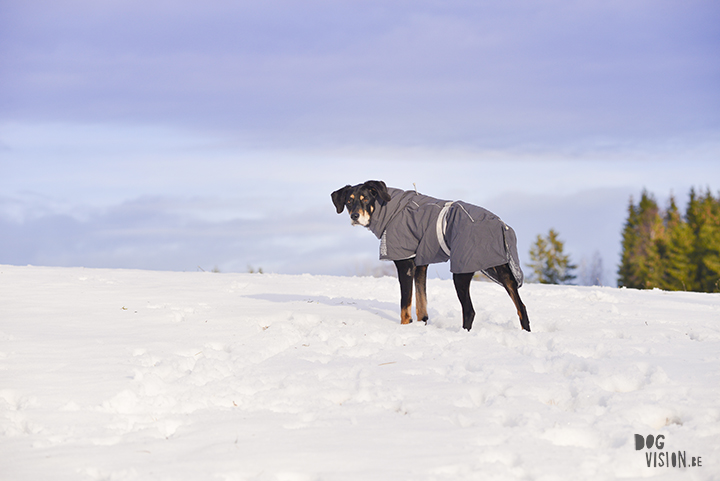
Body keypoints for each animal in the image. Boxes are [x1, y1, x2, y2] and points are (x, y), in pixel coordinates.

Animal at [332, 178, 528, 332]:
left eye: (365, 199)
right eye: (349, 201)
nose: (355, 216)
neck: (389, 208)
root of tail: (501, 224)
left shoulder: (405, 264)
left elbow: (405, 305)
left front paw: (405, 328)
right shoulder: (420, 266)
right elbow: (421, 306)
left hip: (461, 272)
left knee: (469, 311)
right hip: (502, 271)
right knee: (522, 308)